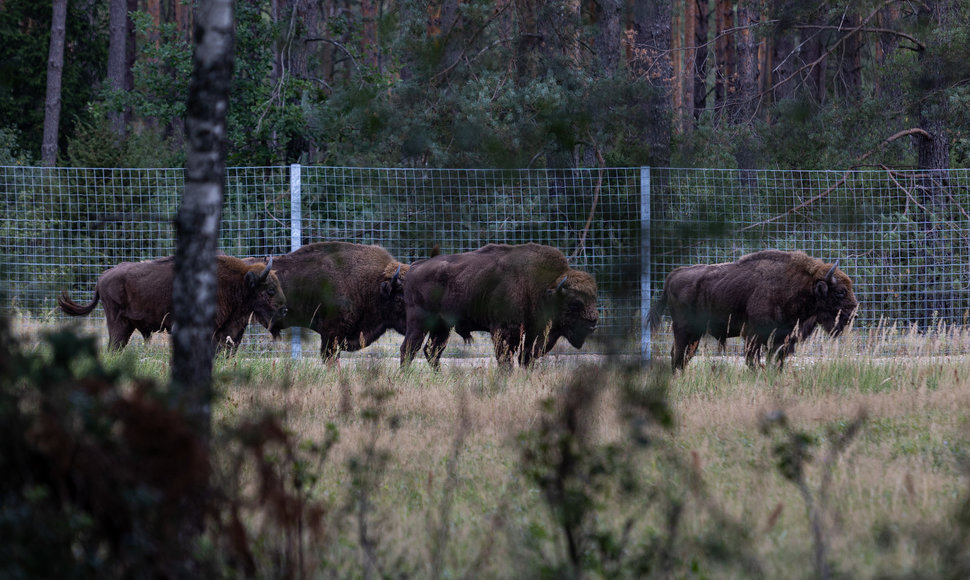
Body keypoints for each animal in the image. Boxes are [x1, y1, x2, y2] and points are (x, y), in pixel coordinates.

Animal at [398, 242, 592, 370]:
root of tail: (415, 266)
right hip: (419, 322)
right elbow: (506, 358)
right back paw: (406, 375)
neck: (544, 287)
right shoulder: (505, 331)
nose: (592, 324)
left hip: (442, 327)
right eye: (573, 304)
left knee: (432, 351)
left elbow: (526, 357)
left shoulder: (533, 333)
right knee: (409, 349)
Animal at [648, 248, 860, 368]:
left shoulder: (782, 340)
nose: (853, 315)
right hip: (684, 330)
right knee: (678, 355)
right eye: (840, 292)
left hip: (693, 334)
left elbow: (776, 363)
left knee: (682, 356)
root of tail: (673, 274)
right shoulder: (754, 336)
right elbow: (753, 362)